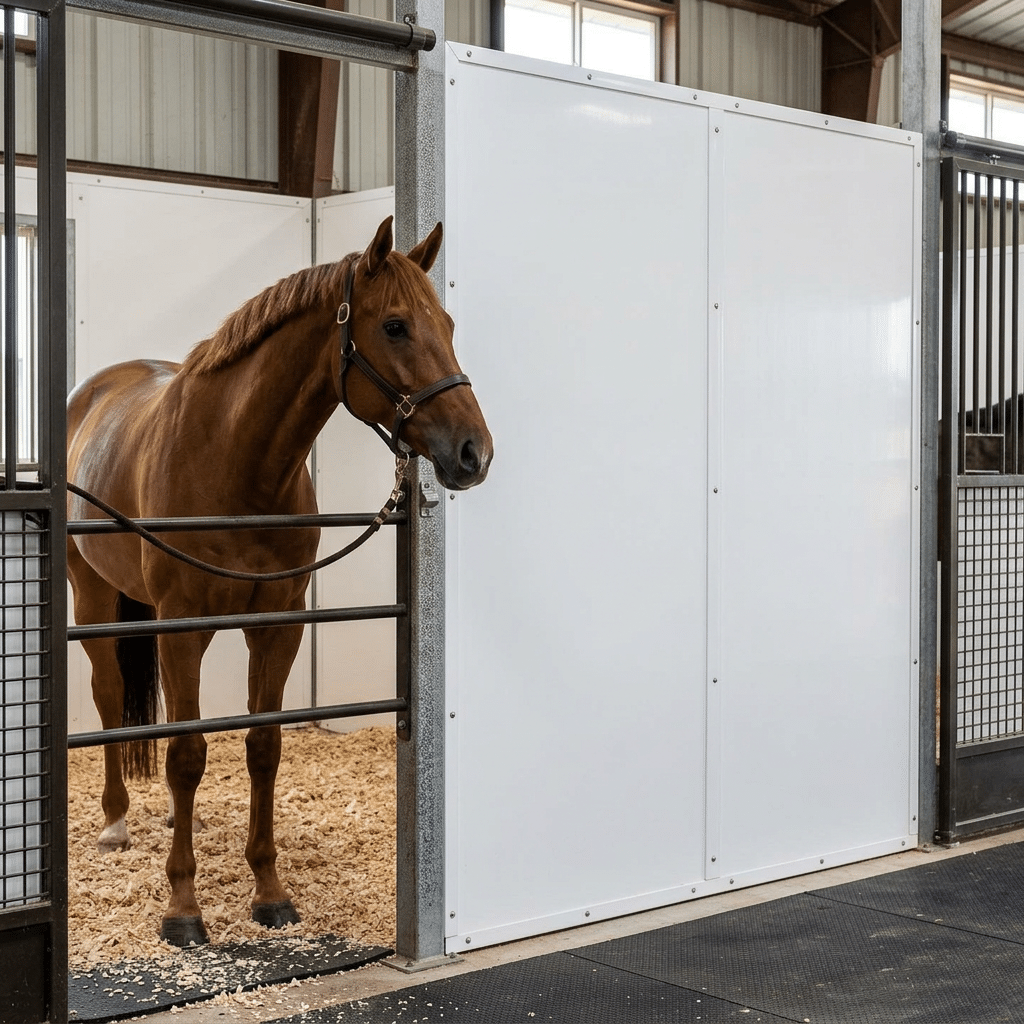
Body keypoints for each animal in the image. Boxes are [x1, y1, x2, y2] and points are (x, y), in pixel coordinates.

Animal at [66, 217, 492, 947]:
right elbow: (187, 754)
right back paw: (116, 822)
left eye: (449, 323)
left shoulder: (278, 623)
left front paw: (269, 892)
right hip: (92, 599)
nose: (475, 453)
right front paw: (183, 910)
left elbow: (262, 746)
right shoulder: (184, 625)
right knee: (108, 693)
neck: (232, 459)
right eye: (396, 326)